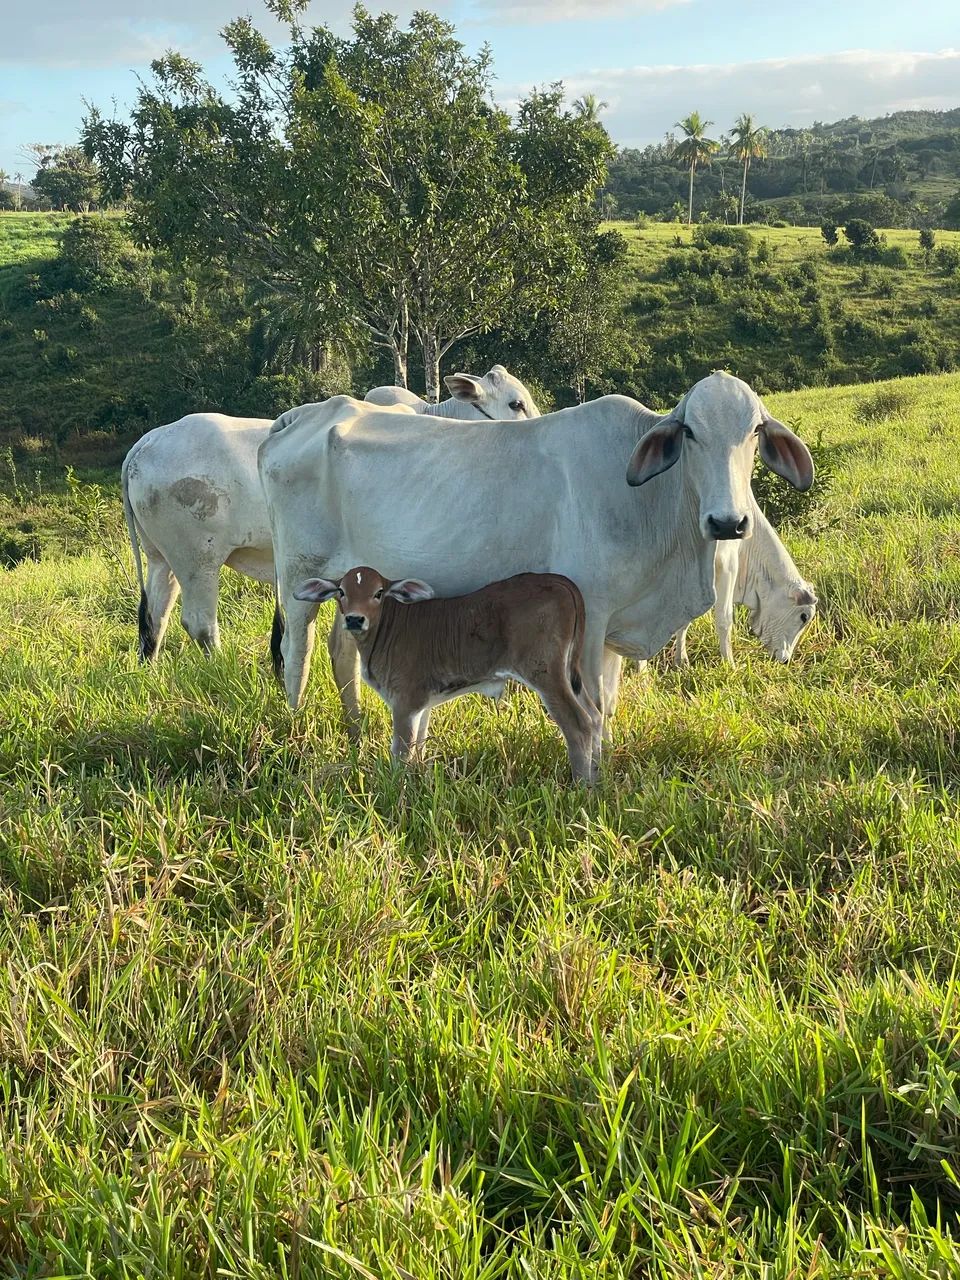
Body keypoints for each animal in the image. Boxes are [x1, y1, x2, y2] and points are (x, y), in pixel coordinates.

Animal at [293, 567, 602, 782]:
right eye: (341, 591)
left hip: (546, 674)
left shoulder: (405, 701)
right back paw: (597, 776)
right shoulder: (420, 703)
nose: (355, 619)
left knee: (579, 724)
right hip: (567, 675)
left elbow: (401, 752)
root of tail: (558, 581)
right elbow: (418, 745)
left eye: (379, 593)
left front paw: (395, 790)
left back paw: (581, 786)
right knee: (595, 715)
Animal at [672, 504, 818, 666]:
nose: (786, 660)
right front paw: (730, 664)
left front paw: (681, 661)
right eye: (804, 616)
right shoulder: (727, 565)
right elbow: (724, 620)